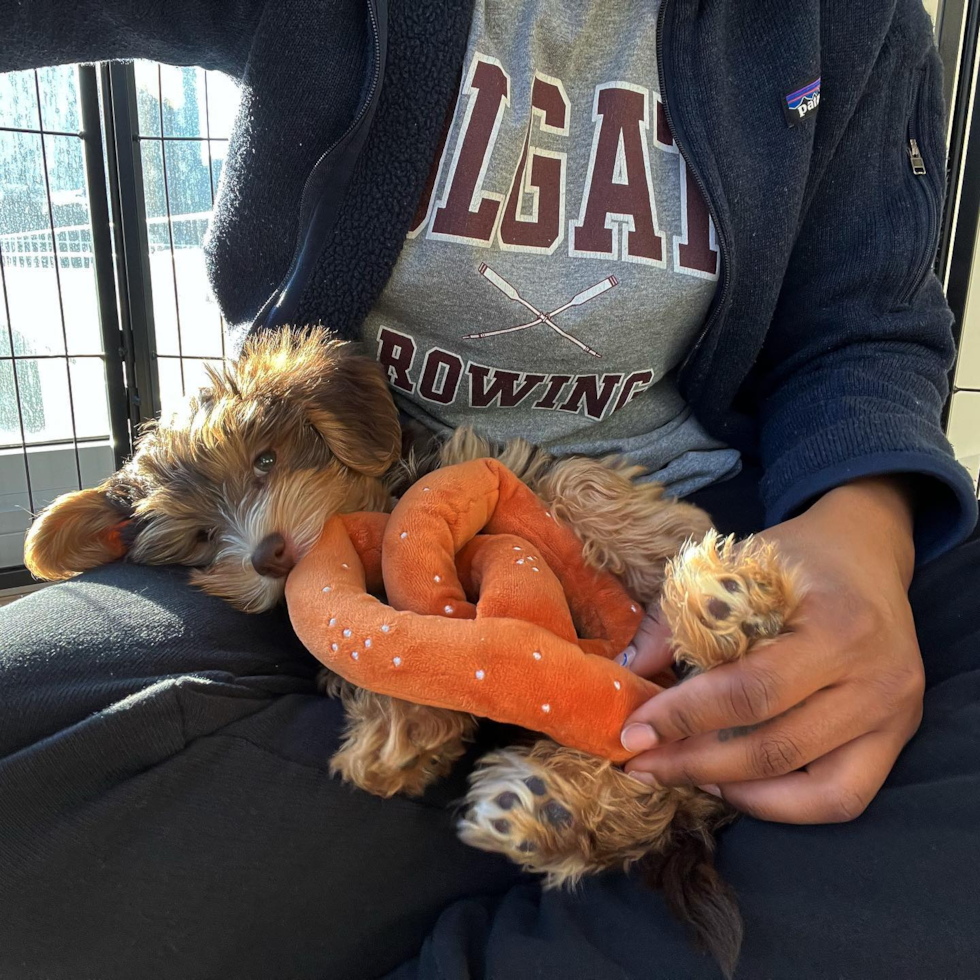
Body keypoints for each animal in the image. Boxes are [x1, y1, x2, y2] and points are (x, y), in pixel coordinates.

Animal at [26, 328, 800, 972]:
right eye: (199, 538)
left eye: (266, 460)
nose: (269, 554)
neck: (379, 508)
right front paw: (404, 728)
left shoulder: (481, 464)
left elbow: (569, 478)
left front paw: (663, 534)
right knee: (657, 791)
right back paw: (547, 806)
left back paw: (727, 599)